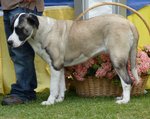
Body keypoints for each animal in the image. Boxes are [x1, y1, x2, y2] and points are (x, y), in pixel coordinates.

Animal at [7, 12, 139, 104]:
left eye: (20, 29)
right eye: (12, 28)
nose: (9, 42)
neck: (42, 30)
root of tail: (128, 22)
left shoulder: (55, 65)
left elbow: (53, 87)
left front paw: (50, 101)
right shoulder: (59, 66)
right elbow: (61, 85)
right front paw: (59, 99)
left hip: (117, 59)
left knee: (127, 81)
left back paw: (125, 101)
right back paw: (122, 97)